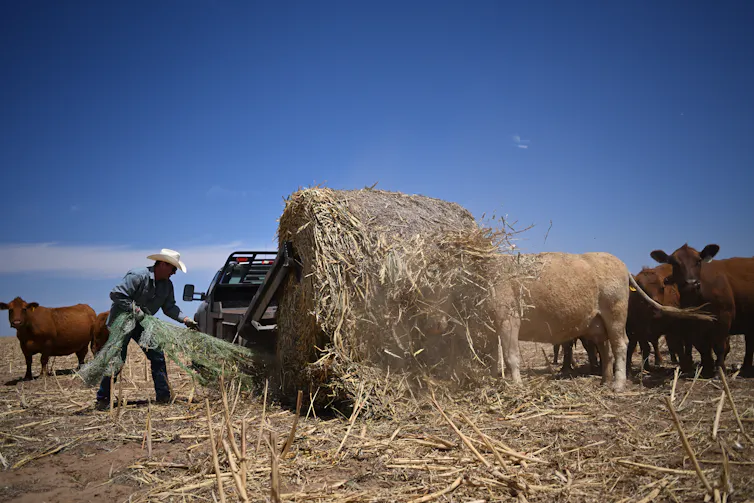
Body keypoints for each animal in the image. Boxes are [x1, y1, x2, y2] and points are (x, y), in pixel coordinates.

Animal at [494, 252, 714, 392]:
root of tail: (623, 267)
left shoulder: (508, 319)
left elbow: (511, 356)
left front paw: (516, 385)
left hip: (615, 314)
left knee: (620, 346)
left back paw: (618, 384)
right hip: (598, 324)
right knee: (606, 351)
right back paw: (605, 380)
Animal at [651, 244, 754, 377]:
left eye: (698, 261)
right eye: (674, 263)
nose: (691, 283)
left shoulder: (724, 317)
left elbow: (719, 346)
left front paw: (719, 371)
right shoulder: (695, 324)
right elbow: (703, 348)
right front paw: (706, 369)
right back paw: (746, 368)